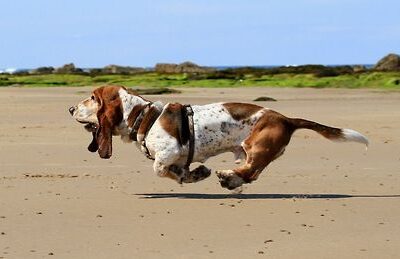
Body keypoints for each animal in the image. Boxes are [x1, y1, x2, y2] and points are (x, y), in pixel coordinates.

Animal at [69, 86, 368, 192]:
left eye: (92, 98)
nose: (70, 109)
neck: (144, 115)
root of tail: (286, 118)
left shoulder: (168, 153)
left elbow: (159, 169)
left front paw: (190, 175)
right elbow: (180, 171)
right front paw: (193, 174)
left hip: (255, 146)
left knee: (250, 171)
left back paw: (229, 178)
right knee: (251, 173)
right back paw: (231, 180)